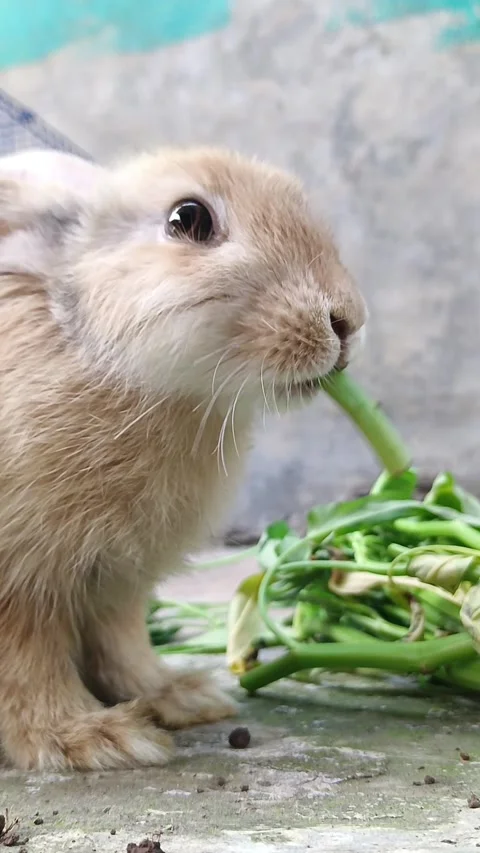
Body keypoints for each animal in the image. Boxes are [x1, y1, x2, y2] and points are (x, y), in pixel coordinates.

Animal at [0, 146, 367, 771]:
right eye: (188, 219)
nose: (347, 320)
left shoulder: (114, 579)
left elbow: (123, 647)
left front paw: (179, 697)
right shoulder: (23, 588)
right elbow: (29, 670)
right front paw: (90, 738)